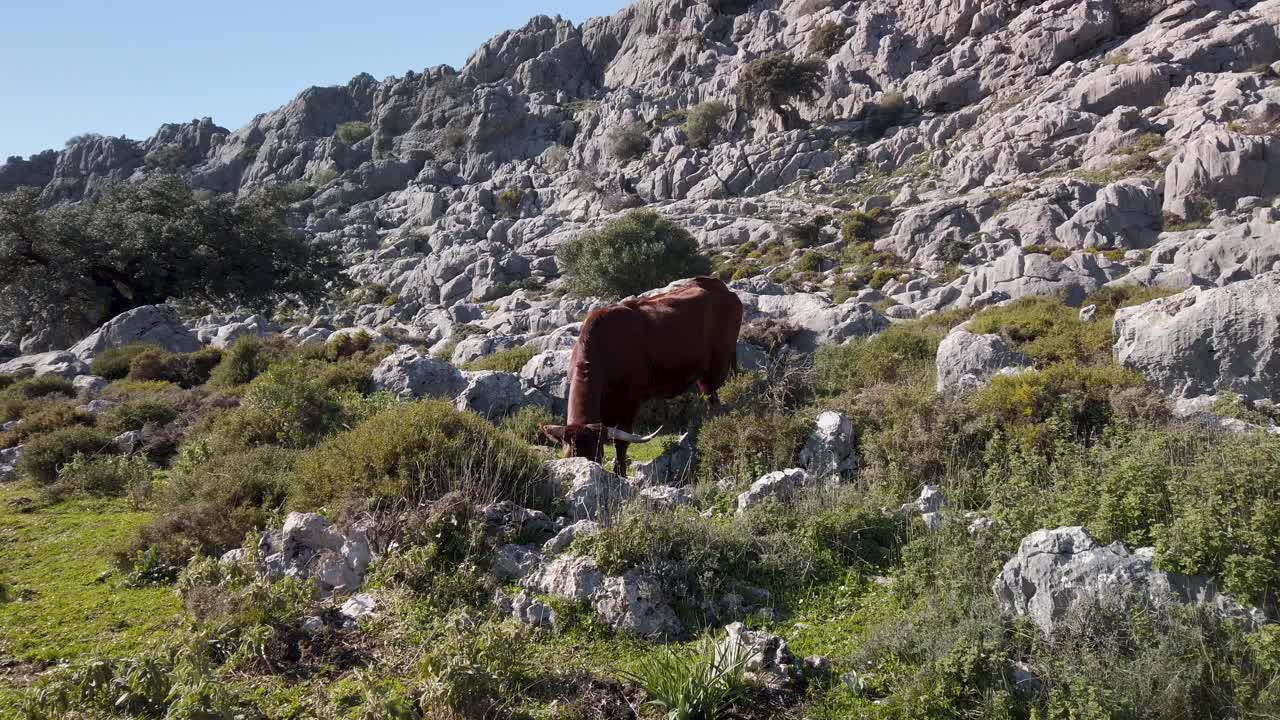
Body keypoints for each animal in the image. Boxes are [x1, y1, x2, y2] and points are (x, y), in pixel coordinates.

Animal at [542, 276, 744, 476]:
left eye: (597, 456)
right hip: (703, 373)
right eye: (570, 456)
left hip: (719, 364)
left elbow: (621, 441)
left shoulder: (630, 401)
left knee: (715, 402)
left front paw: (620, 473)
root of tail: (720, 287)